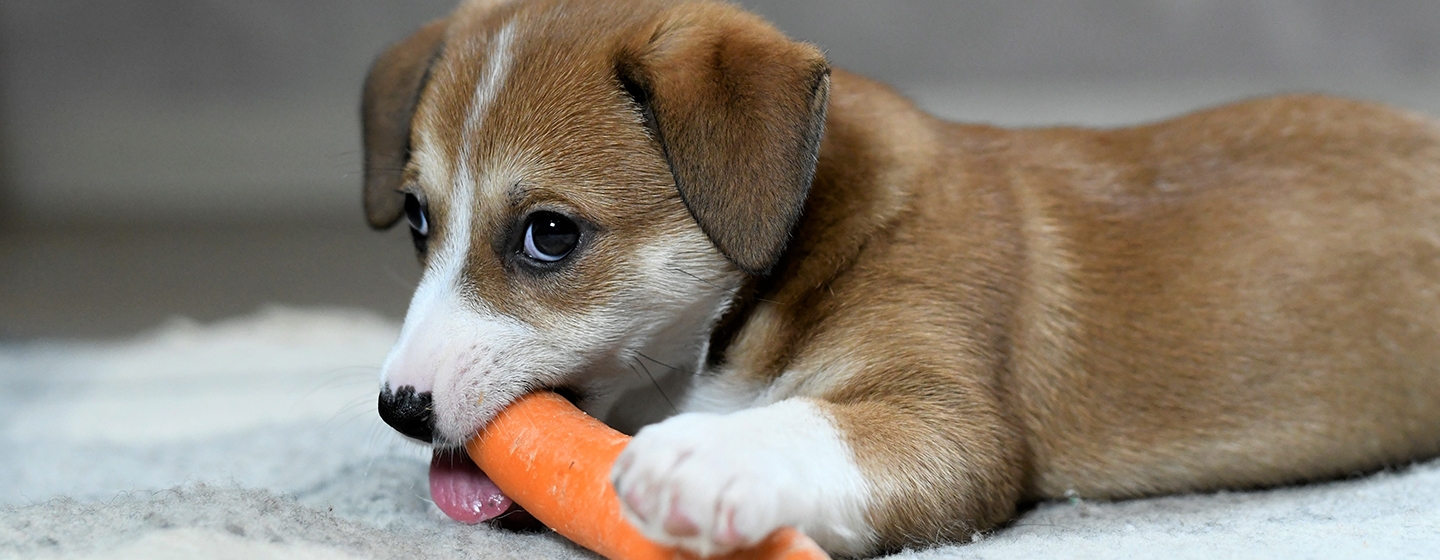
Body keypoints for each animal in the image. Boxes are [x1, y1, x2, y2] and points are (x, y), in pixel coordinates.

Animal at [357, 0, 1440, 552]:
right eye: (417, 219)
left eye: (548, 234)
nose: (400, 409)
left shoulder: (949, 423)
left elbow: (814, 424)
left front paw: (707, 459)